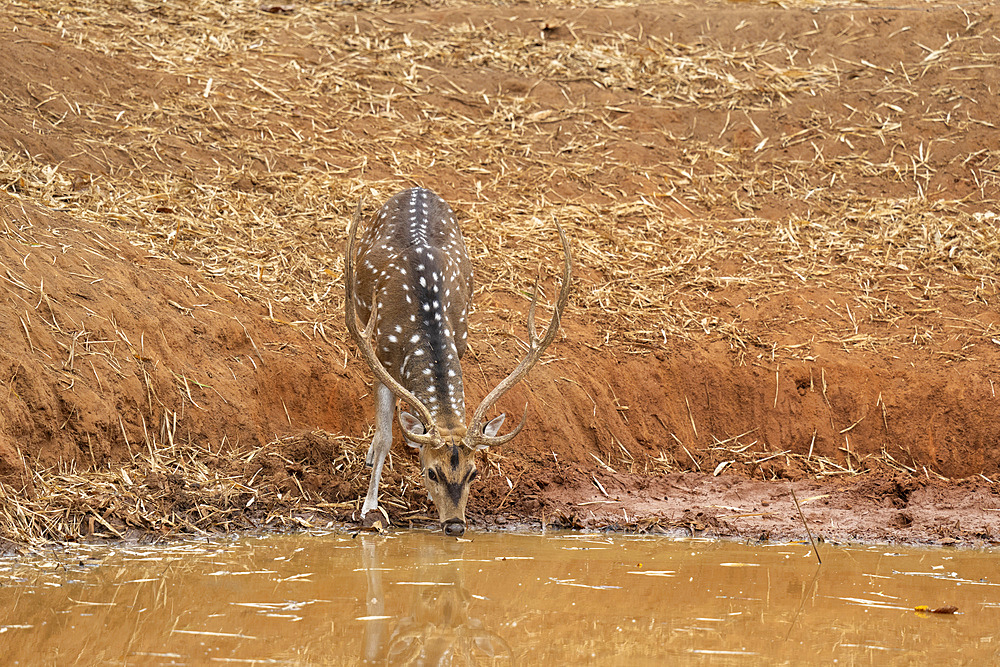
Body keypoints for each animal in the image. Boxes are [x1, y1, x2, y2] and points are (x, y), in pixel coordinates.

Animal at [344, 187, 572, 536]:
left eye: (473, 473)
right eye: (432, 472)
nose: (454, 525)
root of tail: (417, 188)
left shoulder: (460, 340)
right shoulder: (381, 357)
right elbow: (385, 437)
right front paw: (370, 508)